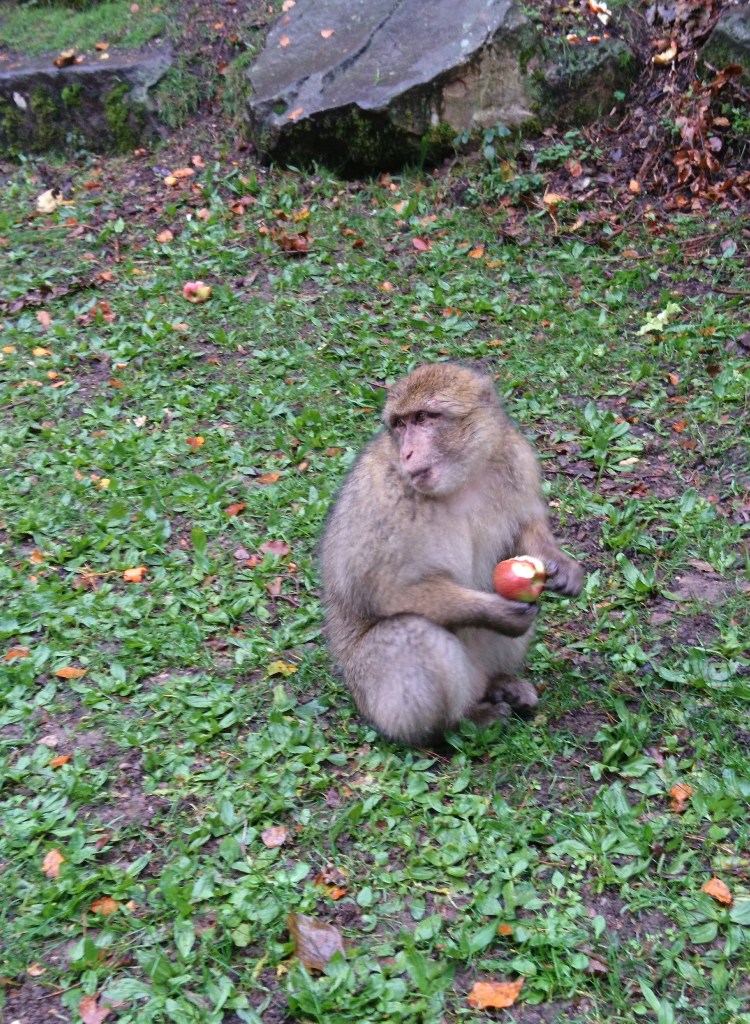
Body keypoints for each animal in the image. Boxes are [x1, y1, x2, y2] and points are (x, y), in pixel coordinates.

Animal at [320, 361, 584, 746]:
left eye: (423, 418)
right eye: (400, 425)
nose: (407, 453)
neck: (462, 479)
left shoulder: (515, 456)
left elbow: (523, 526)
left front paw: (560, 565)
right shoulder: (385, 500)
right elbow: (389, 593)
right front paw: (499, 612)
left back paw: (500, 684)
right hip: (375, 697)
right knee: (411, 633)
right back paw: (461, 722)